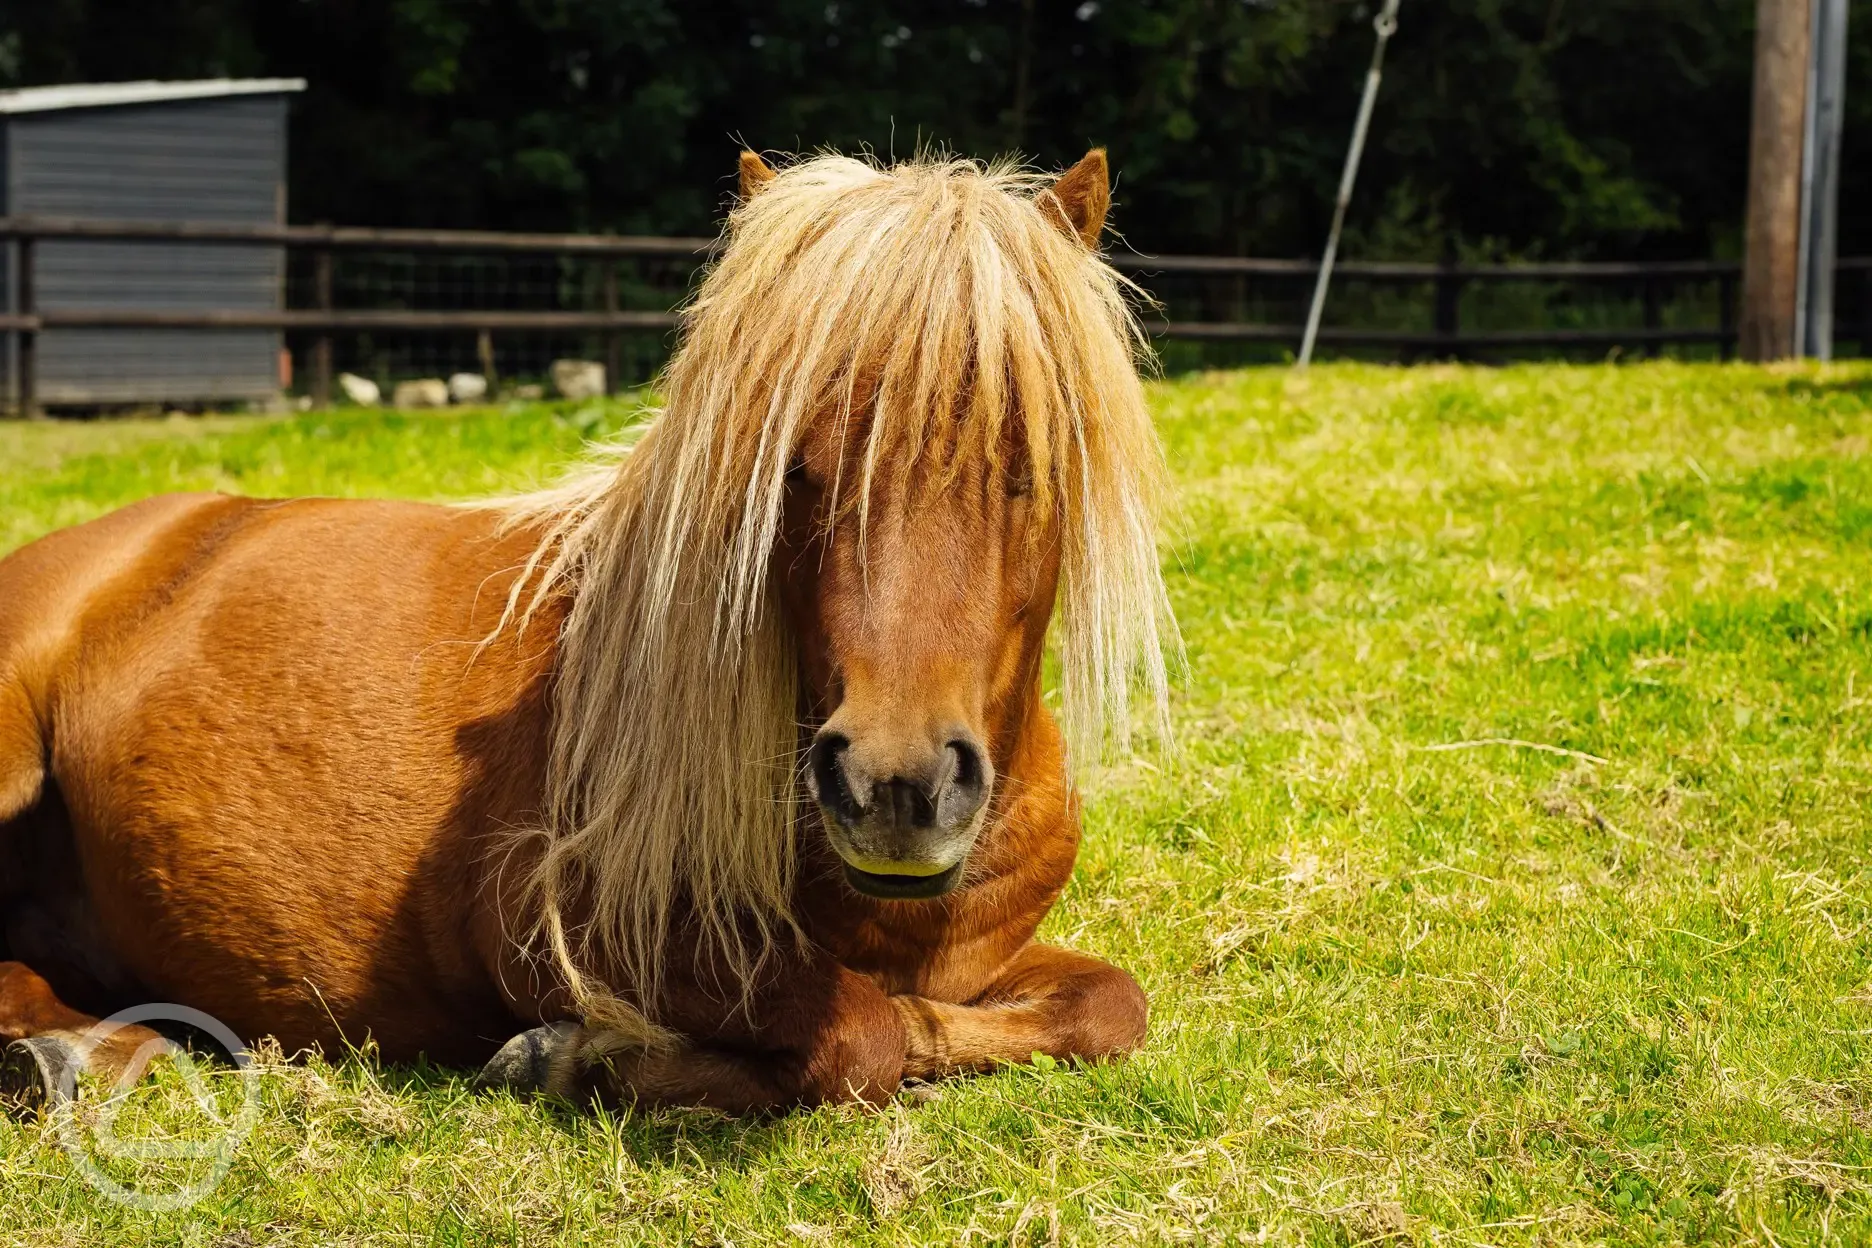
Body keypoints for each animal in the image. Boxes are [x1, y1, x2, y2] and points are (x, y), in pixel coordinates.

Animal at [0, 148, 1173, 1112]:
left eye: (1031, 466)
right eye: (792, 469)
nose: (893, 783)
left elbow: (1106, 1006)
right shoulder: (557, 927)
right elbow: (860, 1031)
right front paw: (578, 1058)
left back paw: (85, 1048)